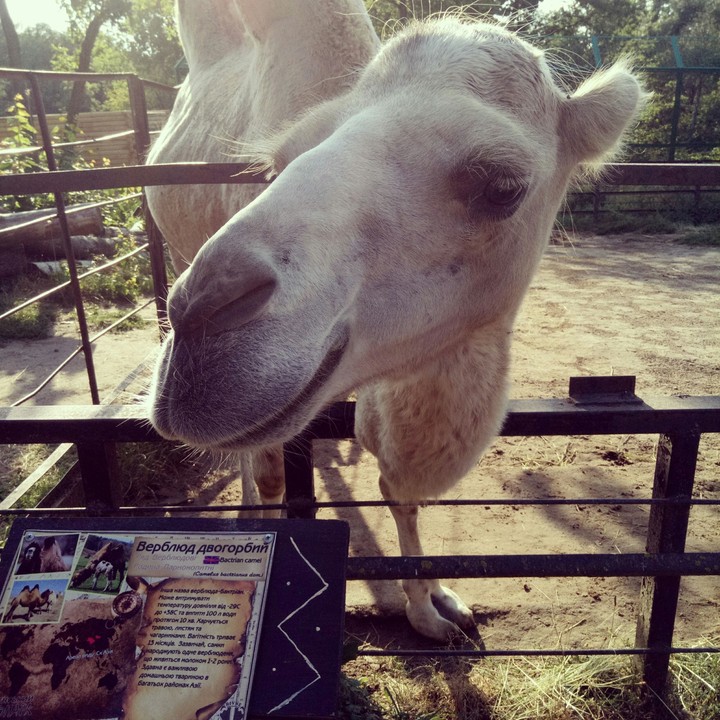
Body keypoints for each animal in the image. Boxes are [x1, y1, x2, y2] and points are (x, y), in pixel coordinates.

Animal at [147, 2, 644, 641]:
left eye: (503, 186)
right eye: (275, 166)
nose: (197, 316)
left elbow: (398, 488)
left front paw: (434, 606)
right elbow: (278, 473)